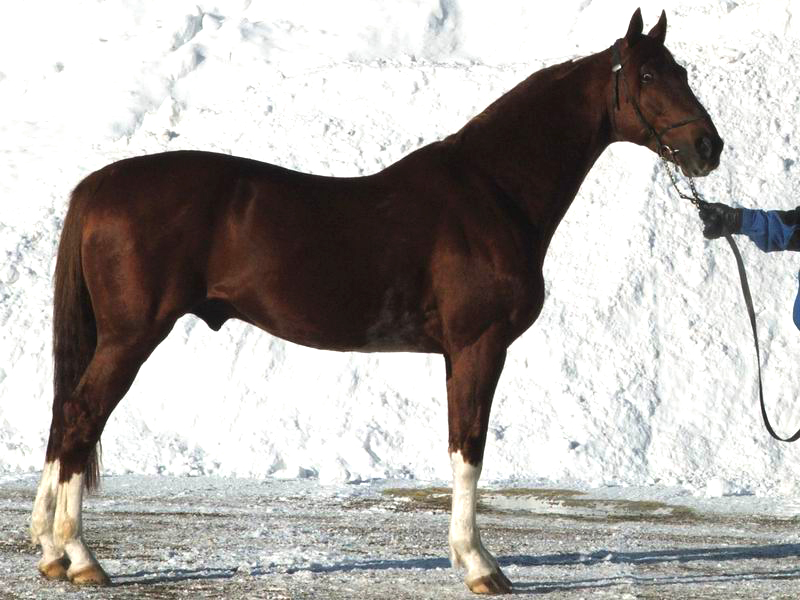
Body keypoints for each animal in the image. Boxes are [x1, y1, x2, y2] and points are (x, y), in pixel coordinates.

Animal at [31, 9, 722, 595]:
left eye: (683, 71)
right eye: (650, 75)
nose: (708, 148)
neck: (493, 191)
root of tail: (98, 185)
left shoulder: (458, 353)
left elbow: (462, 447)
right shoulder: (479, 346)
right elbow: (469, 449)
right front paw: (480, 566)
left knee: (66, 416)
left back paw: (50, 551)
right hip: (131, 336)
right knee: (81, 417)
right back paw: (82, 557)